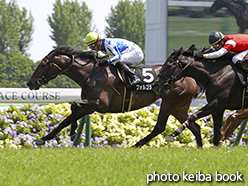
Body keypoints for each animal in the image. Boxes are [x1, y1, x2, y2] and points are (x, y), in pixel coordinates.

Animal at [26, 46, 203, 147]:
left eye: (43, 64)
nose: (30, 83)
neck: (91, 73)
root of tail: (191, 78)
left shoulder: (100, 104)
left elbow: (73, 106)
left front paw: (73, 132)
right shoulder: (89, 106)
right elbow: (66, 118)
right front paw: (43, 139)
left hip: (168, 102)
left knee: (160, 127)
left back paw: (136, 145)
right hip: (179, 107)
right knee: (194, 126)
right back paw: (200, 148)